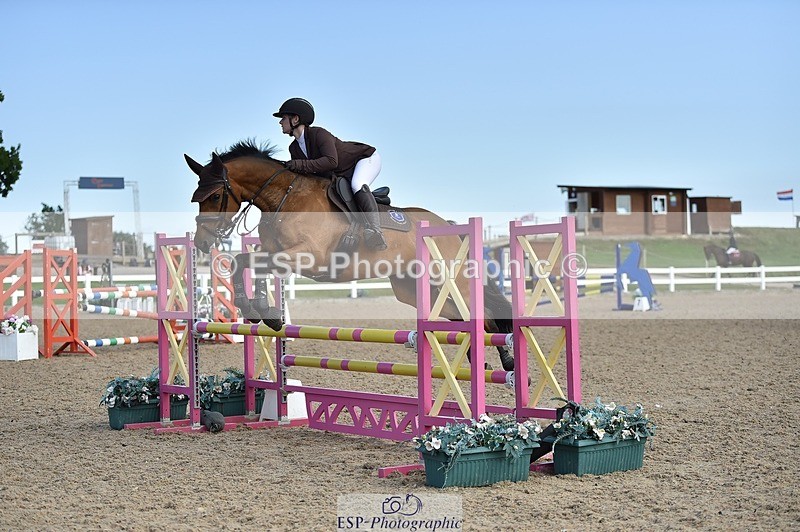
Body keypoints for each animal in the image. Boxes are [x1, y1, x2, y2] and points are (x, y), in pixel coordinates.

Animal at [186, 140, 516, 371]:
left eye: (215, 196)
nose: (202, 242)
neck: (284, 196)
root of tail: (447, 226)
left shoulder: (307, 255)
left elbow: (260, 266)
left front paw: (264, 311)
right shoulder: (277, 252)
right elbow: (244, 262)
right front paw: (259, 310)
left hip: (450, 281)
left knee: (484, 314)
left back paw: (507, 362)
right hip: (417, 290)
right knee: (469, 318)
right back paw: (481, 360)